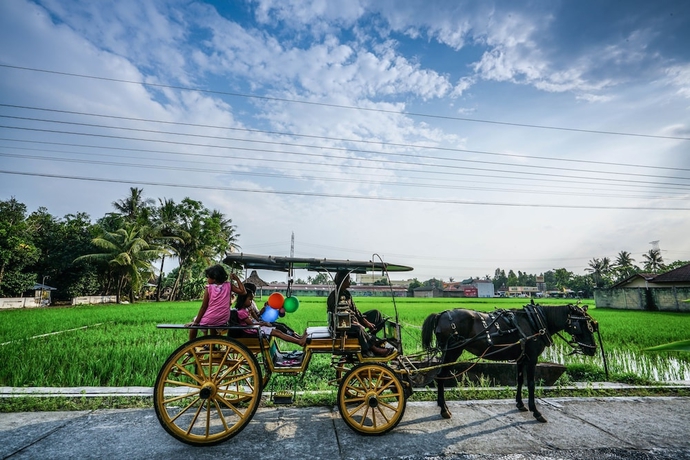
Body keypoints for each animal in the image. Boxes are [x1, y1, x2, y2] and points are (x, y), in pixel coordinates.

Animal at [420, 304, 596, 422]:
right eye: (583, 325)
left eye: (592, 325)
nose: (593, 349)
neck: (536, 321)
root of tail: (441, 315)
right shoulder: (532, 358)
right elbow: (531, 383)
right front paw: (536, 412)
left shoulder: (521, 358)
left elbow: (519, 380)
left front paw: (520, 404)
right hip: (452, 351)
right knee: (441, 376)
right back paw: (444, 409)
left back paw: (442, 406)